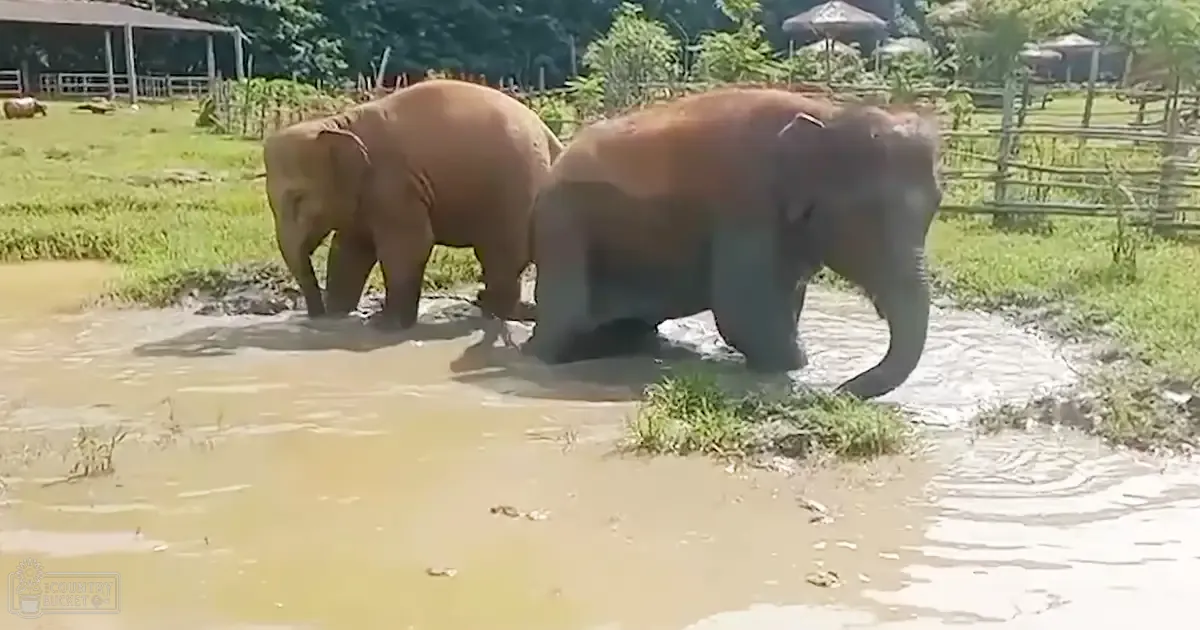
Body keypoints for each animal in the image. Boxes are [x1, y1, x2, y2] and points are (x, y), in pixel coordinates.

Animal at [262, 78, 563, 326]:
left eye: (298, 199)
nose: (315, 316)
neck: (338, 123)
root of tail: (550, 136)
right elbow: (350, 248)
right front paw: (340, 313)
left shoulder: (394, 184)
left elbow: (409, 245)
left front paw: (383, 323)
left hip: (516, 189)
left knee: (502, 254)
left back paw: (492, 307)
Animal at [521, 87, 942, 400]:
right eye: (867, 214)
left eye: (937, 205)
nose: (837, 391)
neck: (829, 114)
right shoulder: (746, 201)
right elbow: (746, 315)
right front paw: (794, 371)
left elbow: (781, 305)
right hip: (562, 226)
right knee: (562, 325)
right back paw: (534, 356)